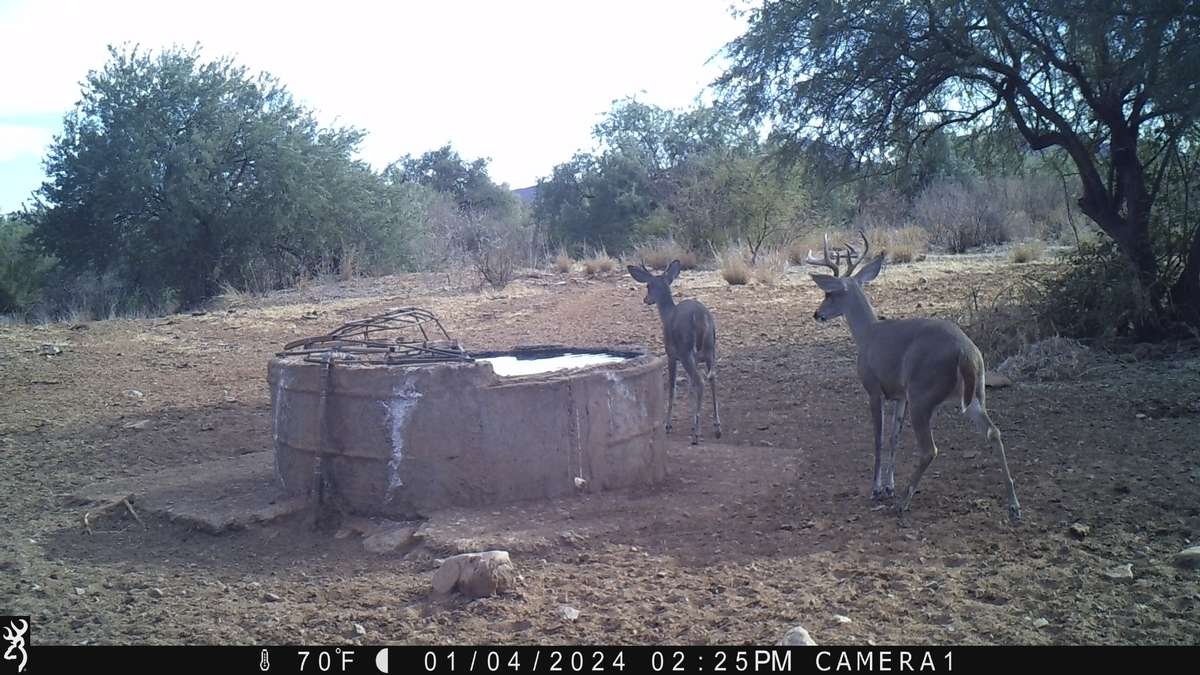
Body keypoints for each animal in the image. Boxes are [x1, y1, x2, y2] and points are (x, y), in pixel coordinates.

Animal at [628, 260, 721, 445]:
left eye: (648, 285)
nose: (646, 299)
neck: (667, 314)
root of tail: (700, 317)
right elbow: (690, 389)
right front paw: (692, 423)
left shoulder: (671, 355)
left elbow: (672, 388)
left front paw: (668, 425)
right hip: (709, 350)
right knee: (712, 379)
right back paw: (716, 428)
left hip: (685, 351)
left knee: (700, 381)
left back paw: (696, 435)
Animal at [804, 232, 1021, 523]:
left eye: (828, 293)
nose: (817, 314)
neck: (867, 334)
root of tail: (966, 352)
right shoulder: (900, 396)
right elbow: (894, 438)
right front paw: (889, 486)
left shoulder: (874, 388)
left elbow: (878, 437)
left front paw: (876, 489)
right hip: (974, 395)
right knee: (994, 432)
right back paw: (1013, 504)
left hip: (924, 393)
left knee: (930, 449)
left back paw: (904, 502)